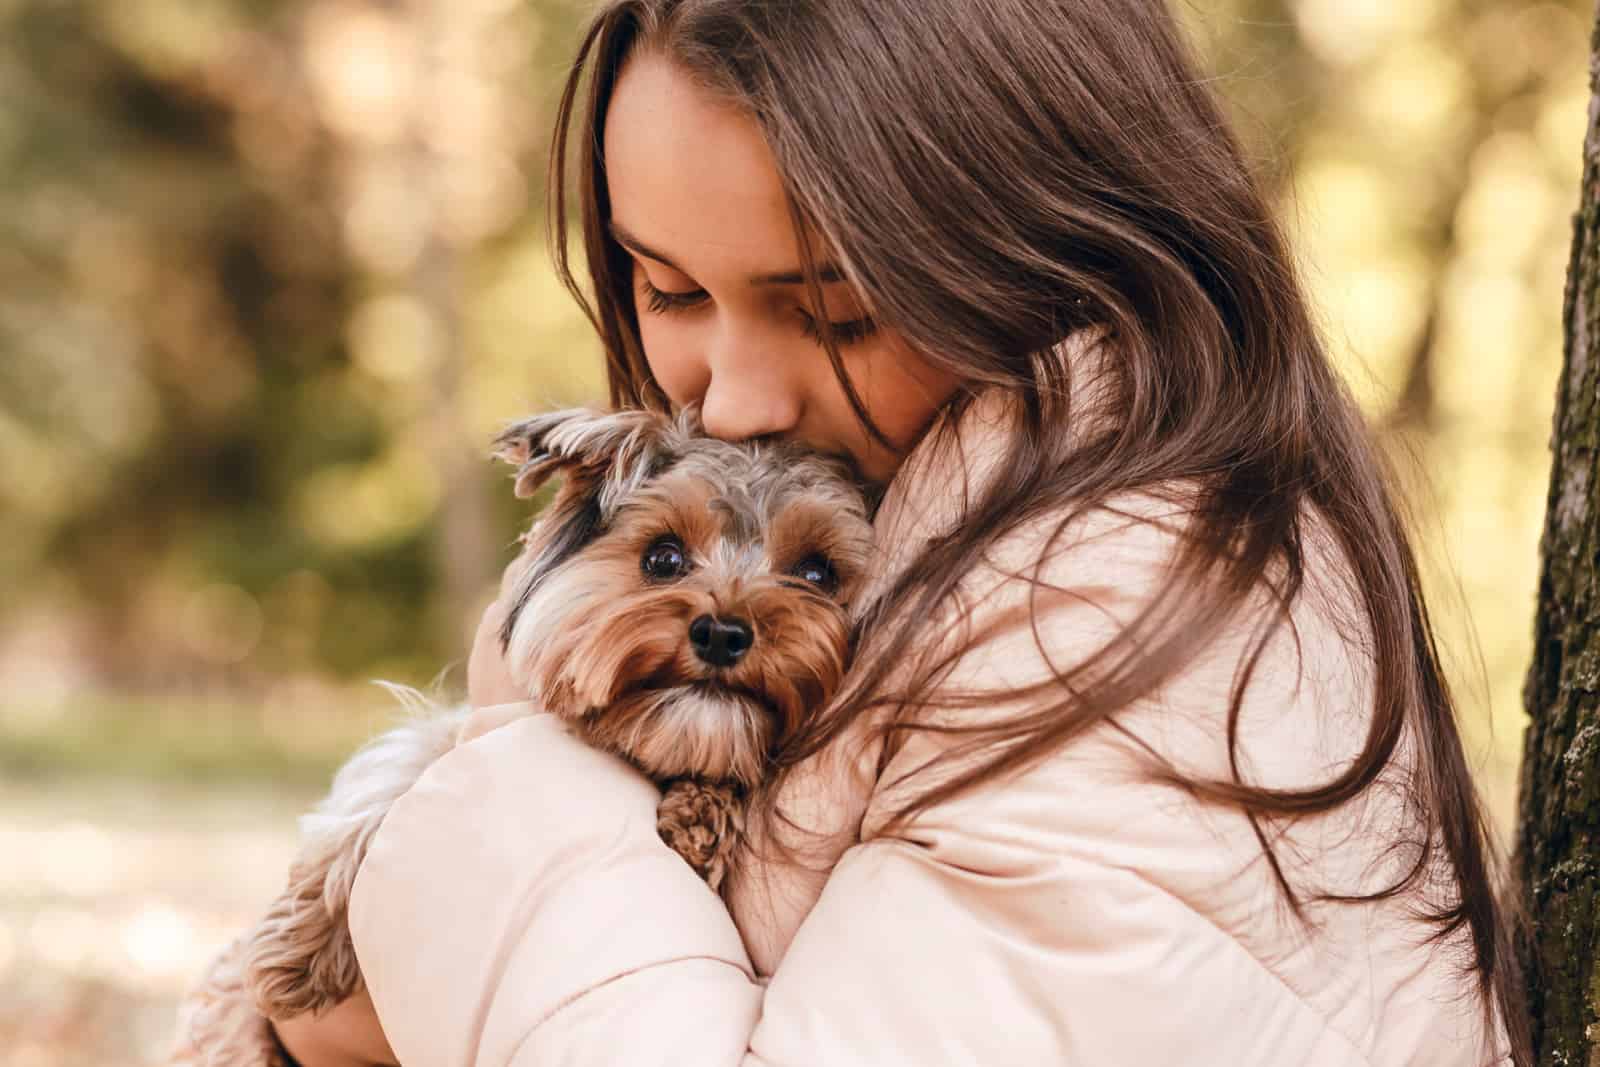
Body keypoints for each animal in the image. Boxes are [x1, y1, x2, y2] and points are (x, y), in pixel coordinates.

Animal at [172, 406, 876, 1067]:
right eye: (663, 557)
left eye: (816, 574)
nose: (724, 632)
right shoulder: (450, 725)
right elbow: (391, 776)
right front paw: (301, 946)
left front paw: (702, 816)